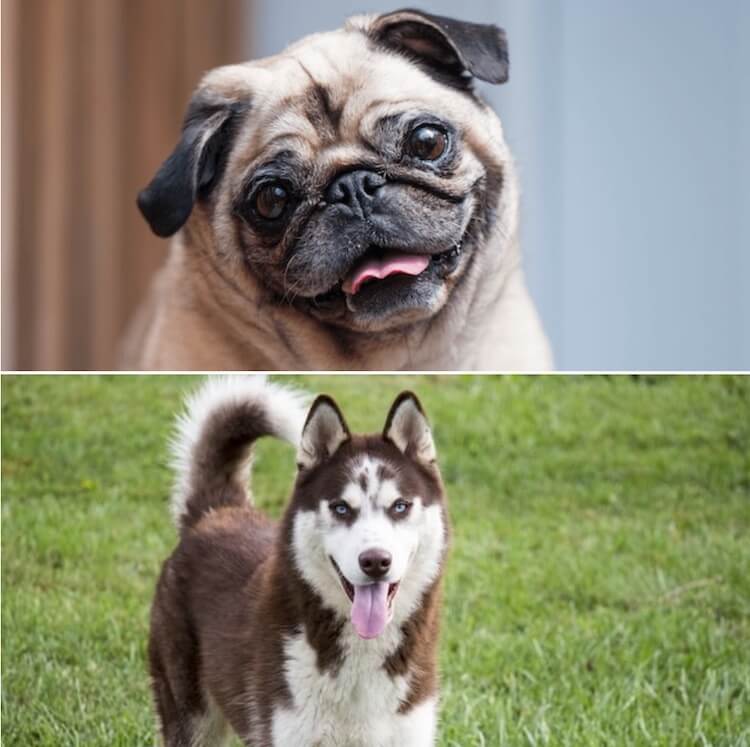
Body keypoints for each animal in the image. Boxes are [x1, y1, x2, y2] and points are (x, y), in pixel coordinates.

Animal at [150, 380, 450, 747]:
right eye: (340, 508)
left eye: (400, 506)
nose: (375, 561)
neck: (362, 649)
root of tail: (216, 512)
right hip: (191, 718)